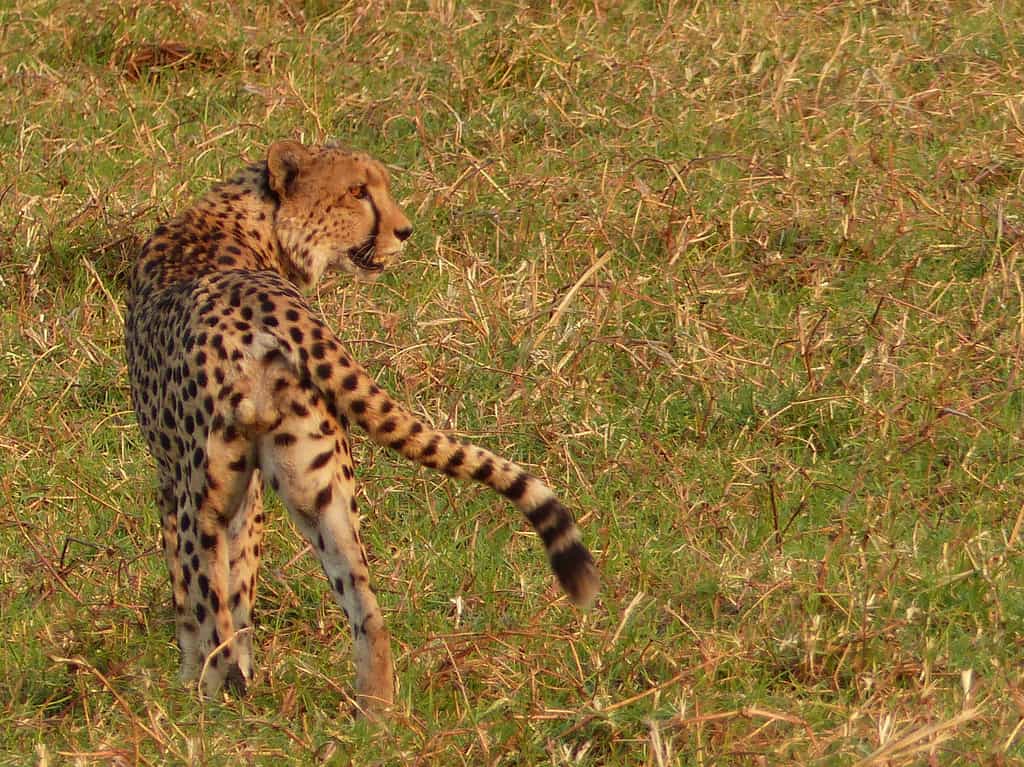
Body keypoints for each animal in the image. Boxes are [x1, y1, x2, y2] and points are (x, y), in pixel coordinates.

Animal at [124, 139, 599, 713]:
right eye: (357, 191)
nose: (404, 230)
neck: (254, 220)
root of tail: (264, 306)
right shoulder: (250, 493)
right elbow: (243, 587)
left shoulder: (173, 481)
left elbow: (191, 595)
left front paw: (190, 678)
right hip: (321, 485)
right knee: (365, 606)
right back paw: (375, 715)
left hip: (207, 493)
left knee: (212, 606)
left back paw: (213, 705)